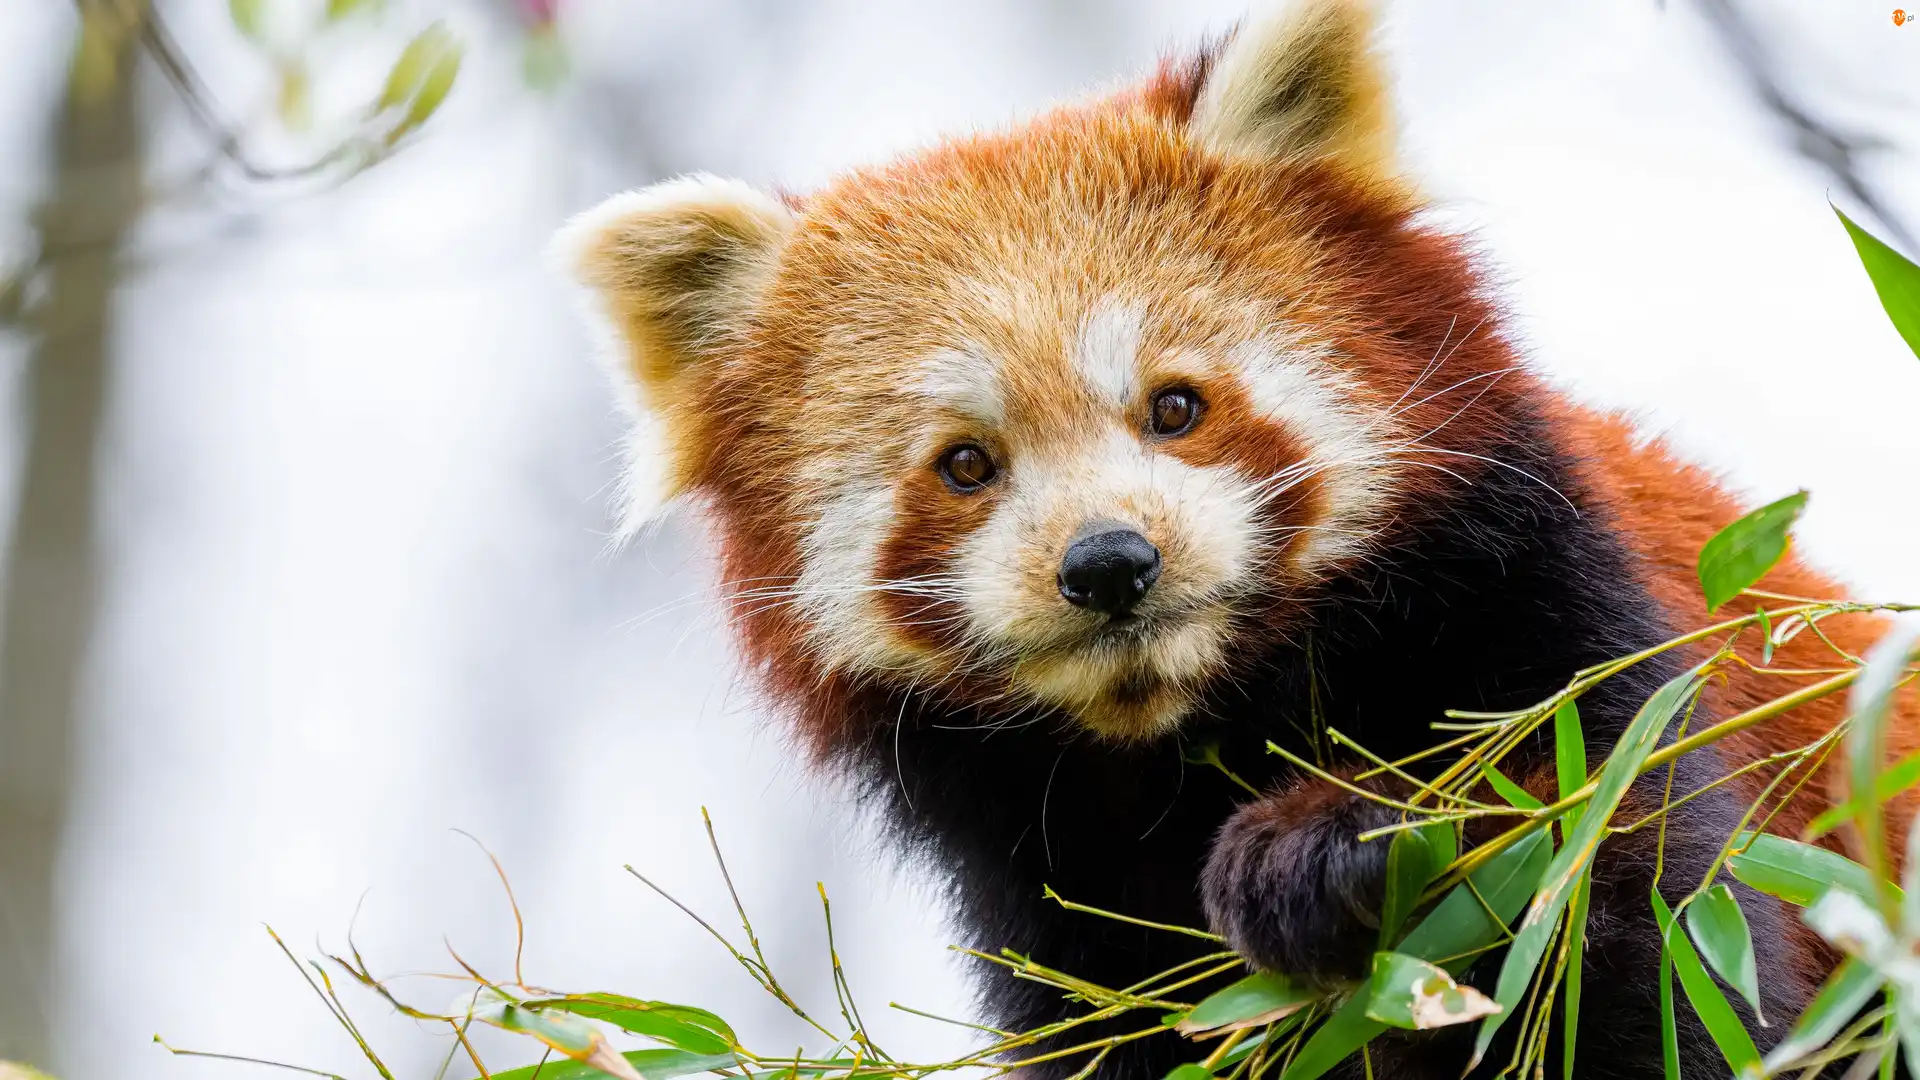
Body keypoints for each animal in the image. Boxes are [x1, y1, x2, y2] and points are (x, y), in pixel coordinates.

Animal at [555, 2, 1915, 1076]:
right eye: (966, 465)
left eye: (1175, 407)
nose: (1108, 563)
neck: (1204, 728)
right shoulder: (1048, 898)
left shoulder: (1581, 662)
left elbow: (1643, 955)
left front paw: (1331, 847)